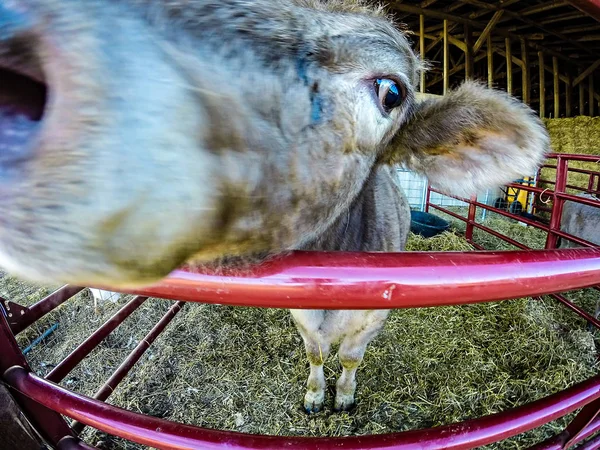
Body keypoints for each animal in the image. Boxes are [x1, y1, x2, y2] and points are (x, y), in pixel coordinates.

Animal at [0, 0, 548, 414]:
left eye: (391, 91)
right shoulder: (300, 310)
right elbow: (315, 352)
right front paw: (314, 396)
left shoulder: (375, 316)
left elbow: (351, 358)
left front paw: (343, 397)